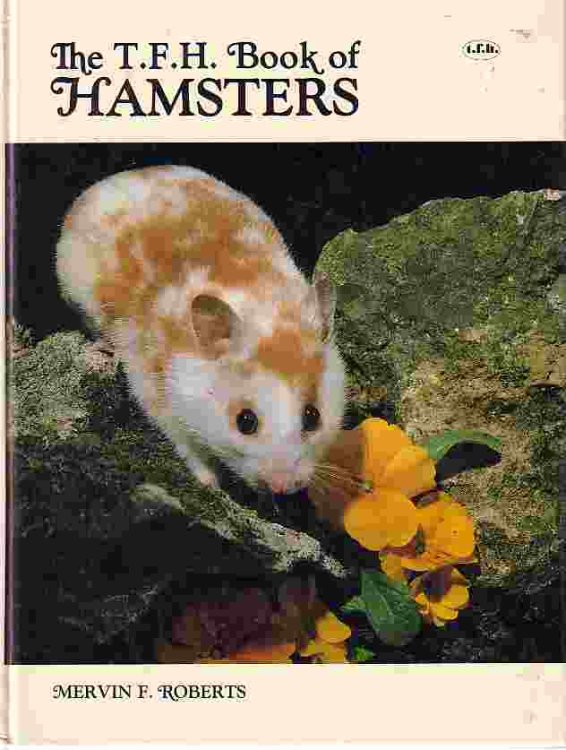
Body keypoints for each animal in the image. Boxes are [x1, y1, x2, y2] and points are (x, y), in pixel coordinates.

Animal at [56, 165, 346, 493]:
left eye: (313, 416)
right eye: (245, 421)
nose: (282, 487)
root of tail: (123, 175)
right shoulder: (157, 396)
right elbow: (187, 448)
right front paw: (211, 485)